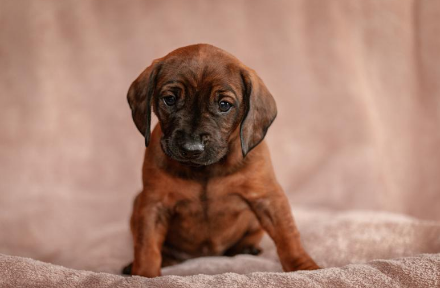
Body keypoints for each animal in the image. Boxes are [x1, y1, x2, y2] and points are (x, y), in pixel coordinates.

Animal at [124, 43, 320, 276]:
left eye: (224, 104)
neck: (205, 170)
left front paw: (304, 267)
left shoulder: (268, 198)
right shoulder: (153, 204)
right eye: (169, 100)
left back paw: (246, 248)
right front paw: (143, 275)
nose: (191, 148)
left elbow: (288, 236)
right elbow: (147, 246)